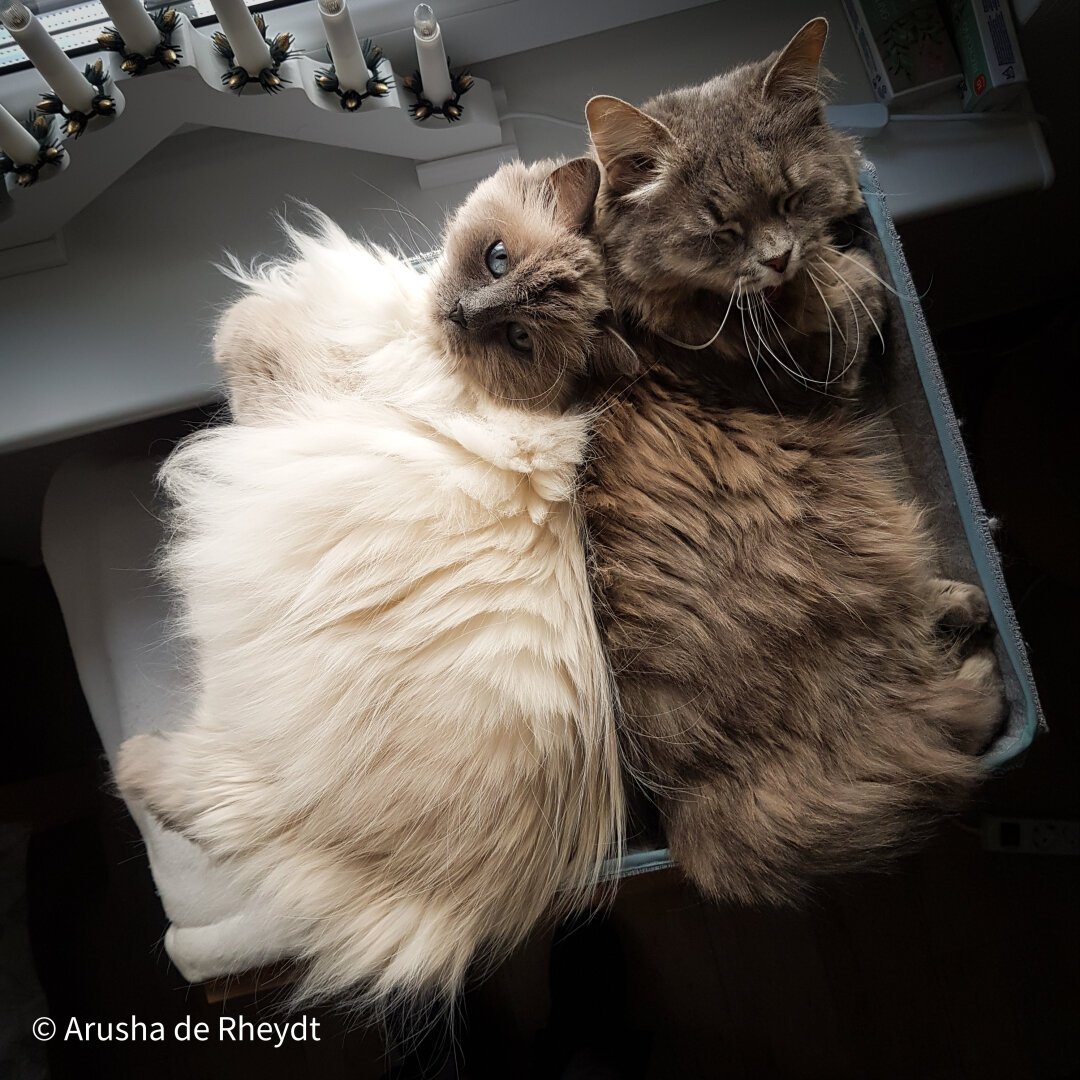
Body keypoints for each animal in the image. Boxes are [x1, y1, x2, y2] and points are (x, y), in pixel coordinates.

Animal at [115, 156, 630, 1006]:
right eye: (495, 260)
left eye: (518, 338)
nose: (461, 313)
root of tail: (475, 895)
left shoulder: (300, 381)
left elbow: (239, 335)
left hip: (256, 735)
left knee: (215, 802)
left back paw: (134, 760)